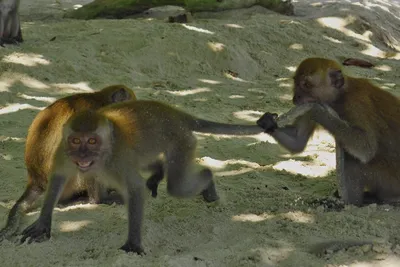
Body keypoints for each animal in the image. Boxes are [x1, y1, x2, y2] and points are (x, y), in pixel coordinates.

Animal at [19, 99, 276, 254]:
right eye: (75, 141)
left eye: (91, 141)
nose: (82, 154)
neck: (104, 152)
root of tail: (176, 114)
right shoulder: (63, 151)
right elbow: (58, 177)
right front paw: (42, 224)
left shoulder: (119, 160)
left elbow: (135, 189)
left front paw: (133, 243)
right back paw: (159, 171)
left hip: (182, 141)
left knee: (178, 186)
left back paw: (208, 181)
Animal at [256, 57, 400, 207]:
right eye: (296, 83)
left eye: (307, 84)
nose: (296, 97)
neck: (341, 95)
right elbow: (297, 141)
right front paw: (269, 122)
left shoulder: (356, 104)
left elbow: (366, 147)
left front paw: (319, 111)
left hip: (390, 180)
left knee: (352, 160)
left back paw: (351, 203)